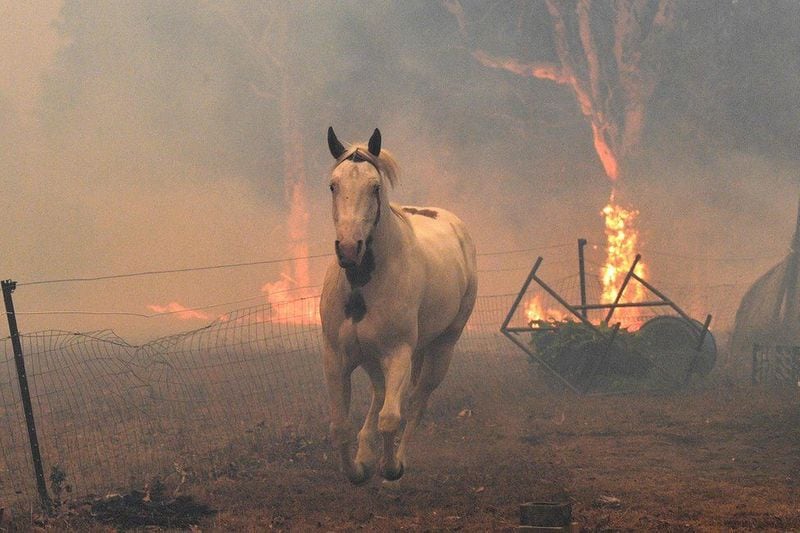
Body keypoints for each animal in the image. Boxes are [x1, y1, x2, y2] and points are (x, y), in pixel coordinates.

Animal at [322, 128, 478, 482]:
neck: (362, 286)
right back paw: (367, 454)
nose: (349, 249)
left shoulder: (398, 354)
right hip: (373, 358)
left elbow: (391, 418)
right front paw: (357, 470)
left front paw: (390, 467)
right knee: (381, 394)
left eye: (375, 187)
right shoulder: (337, 358)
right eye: (334, 185)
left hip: (441, 348)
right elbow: (339, 426)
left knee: (417, 402)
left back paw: (398, 459)